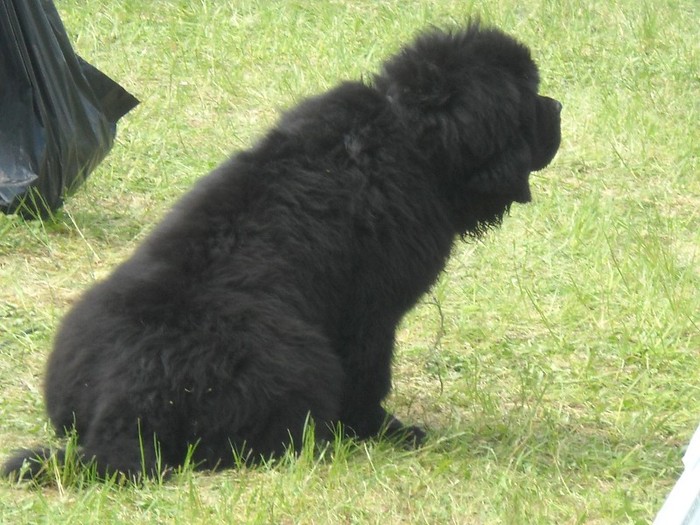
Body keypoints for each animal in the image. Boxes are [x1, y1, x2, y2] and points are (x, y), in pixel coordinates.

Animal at [1, 21, 556, 478]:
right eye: (530, 97)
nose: (559, 107)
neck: (408, 135)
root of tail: (128, 406)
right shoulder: (371, 314)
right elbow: (370, 373)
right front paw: (385, 429)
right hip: (298, 360)